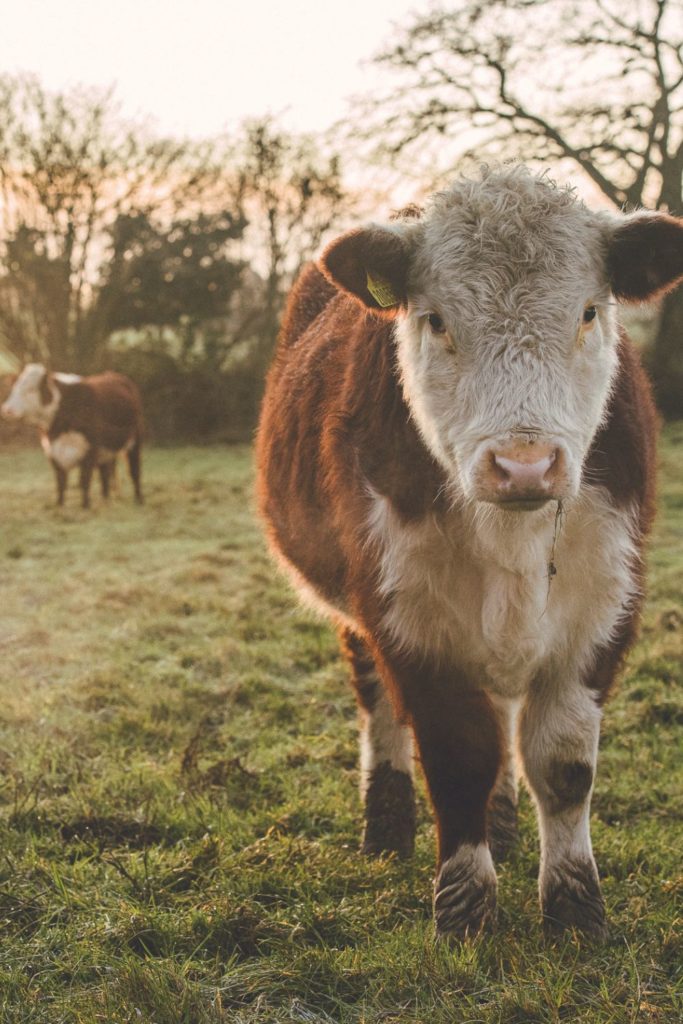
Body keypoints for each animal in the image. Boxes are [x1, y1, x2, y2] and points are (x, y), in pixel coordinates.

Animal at [2, 366, 144, 509]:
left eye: (31, 389)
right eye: (14, 387)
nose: (7, 410)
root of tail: (113, 374)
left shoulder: (90, 449)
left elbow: (84, 480)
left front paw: (85, 505)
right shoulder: (53, 451)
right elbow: (61, 481)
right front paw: (59, 504)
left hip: (135, 441)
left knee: (134, 471)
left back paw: (138, 499)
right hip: (106, 451)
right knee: (105, 473)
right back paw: (105, 499)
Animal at [258, 167, 683, 942]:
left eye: (587, 311)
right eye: (435, 319)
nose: (524, 467)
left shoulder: (602, 608)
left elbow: (562, 764)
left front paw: (575, 911)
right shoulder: (407, 618)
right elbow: (457, 756)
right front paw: (465, 912)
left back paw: (505, 823)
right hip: (359, 617)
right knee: (381, 708)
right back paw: (386, 827)